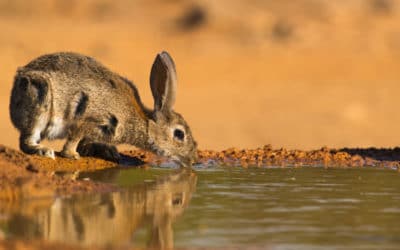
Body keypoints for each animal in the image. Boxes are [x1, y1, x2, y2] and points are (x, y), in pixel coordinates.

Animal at [9, 51, 197, 166]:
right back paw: (43, 151)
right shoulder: (90, 120)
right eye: (179, 134)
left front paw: (108, 151)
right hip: (40, 100)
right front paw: (72, 155)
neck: (145, 123)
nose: (192, 159)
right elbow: (74, 138)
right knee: (25, 141)